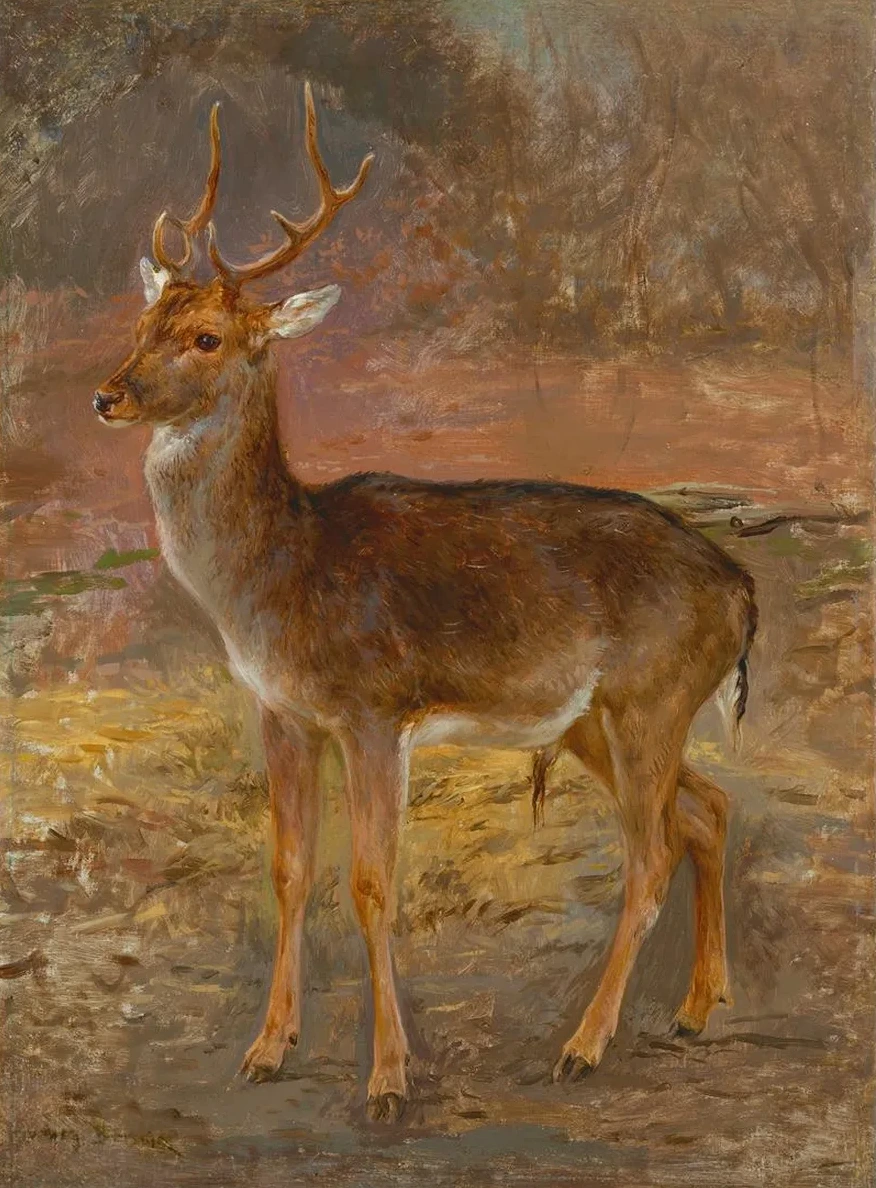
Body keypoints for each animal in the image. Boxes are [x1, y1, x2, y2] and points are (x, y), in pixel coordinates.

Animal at [94, 85, 758, 1122]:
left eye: (207, 338)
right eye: (141, 326)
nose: (108, 396)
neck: (282, 575)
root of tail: (742, 589)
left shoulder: (375, 708)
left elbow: (371, 882)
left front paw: (389, 1078)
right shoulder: (281, 711)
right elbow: (289, 870)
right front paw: (267, 1049)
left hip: (651, 697)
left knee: (650, 855)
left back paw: (583, 1045)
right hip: (599, 719)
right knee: (710, 809)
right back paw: (695, 1008)